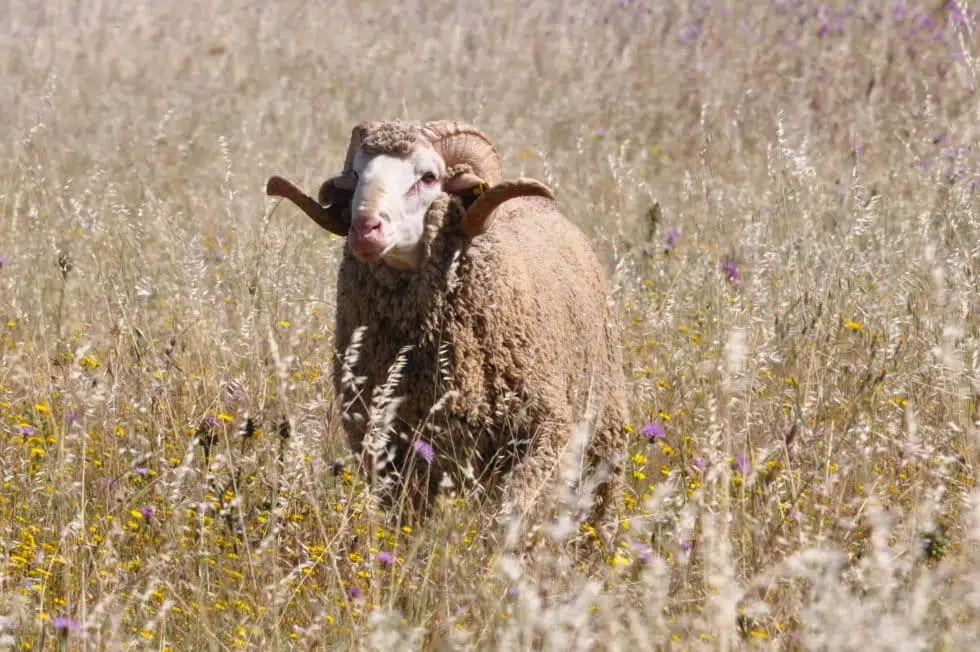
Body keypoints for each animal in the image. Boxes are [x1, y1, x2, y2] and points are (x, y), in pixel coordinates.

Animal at [264, 121, 624, 528]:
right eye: (356, 174)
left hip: (604, 436)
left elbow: (510, 513)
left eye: (429, 177)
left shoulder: (545, 431)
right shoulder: (385, 448)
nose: (365, 228)